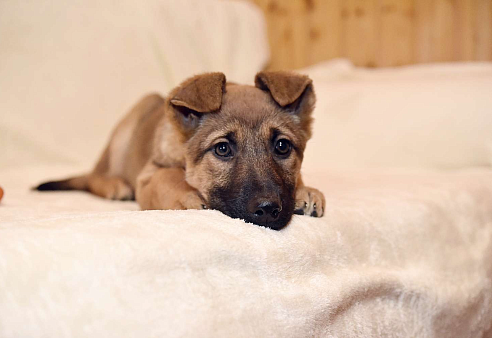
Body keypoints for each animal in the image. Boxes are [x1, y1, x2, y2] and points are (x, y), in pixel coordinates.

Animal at [36, 71, 324, 230]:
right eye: (222, 149)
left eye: (282, 146)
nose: (267, 209)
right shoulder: (149, 177)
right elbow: (169, 177)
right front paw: (188, 195)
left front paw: (305, 190)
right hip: (128, 125)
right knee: (95, 175)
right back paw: (114, 185)